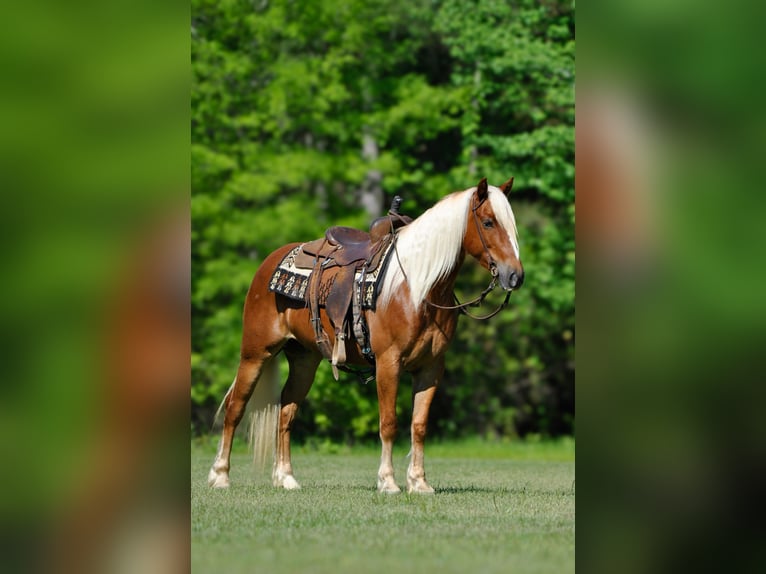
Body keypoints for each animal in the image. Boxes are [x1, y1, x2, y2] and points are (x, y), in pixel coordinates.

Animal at [208, 177, 524, 493]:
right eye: (488, 222)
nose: (515, 276)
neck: (417, 288)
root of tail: (268, 262)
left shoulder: (431, 367)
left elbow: (419, 426)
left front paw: (419, 482)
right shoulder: (389, 363)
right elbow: (389, 423)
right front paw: (388, 482)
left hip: (304, 360)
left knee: (286, 412)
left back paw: (286, 478)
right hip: (255, 353)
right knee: (235, 407)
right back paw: (220, 475)